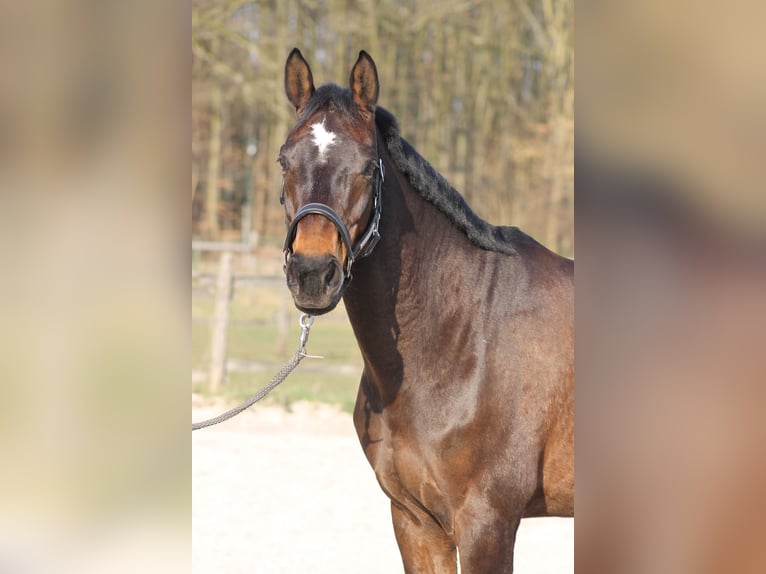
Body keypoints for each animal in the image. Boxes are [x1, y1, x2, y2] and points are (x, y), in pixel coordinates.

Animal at [280, 48, 572, 572]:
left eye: (367, 167)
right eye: (283, 162)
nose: (312, 273)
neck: (460, 338)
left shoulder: (487, 525)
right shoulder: (415, 520)